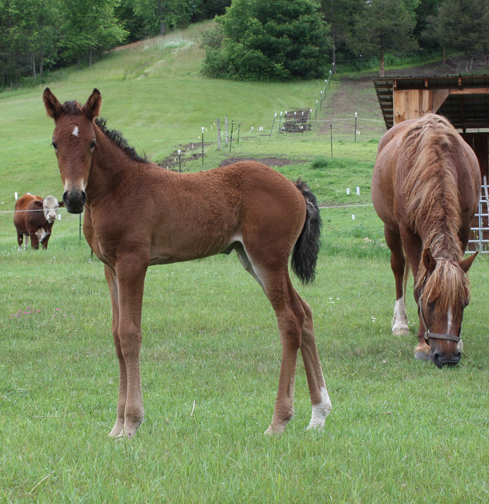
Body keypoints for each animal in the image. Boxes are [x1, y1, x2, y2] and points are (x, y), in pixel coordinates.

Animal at [43, 87, 332, 438]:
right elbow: (115, 335)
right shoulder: (109, 268)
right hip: (251, 259)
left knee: (289, 319)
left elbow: (129, 334)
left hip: (268, 259)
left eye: (91, 143)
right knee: (304, 313)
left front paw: (131, 423)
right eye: (55, 143)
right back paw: (318, 415)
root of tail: (294, 185)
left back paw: (279, 421)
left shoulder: (133, 263)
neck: (119, 189)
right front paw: (116, 427)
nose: (73, 198)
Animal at [372, 114, 478, 366]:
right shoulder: (407, 232)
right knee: (398, 268)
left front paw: (459, 341)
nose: (448, 357)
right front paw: (422, 344)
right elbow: (417, 286)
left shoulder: (464, 227)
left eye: (464, 303)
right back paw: (400, 322)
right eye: (430, 302)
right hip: (391, 230)